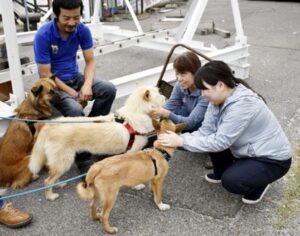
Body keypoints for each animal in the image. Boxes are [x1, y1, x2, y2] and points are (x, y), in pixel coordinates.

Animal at [29, 86, 165, 201]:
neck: (136, 113)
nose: (164, 97)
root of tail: (51, 125)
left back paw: (59, 184)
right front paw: (136, 186)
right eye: (158, 94)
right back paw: (50, 196)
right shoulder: (130, 154)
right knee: (47, 181)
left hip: (60, 162)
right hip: (64, 160)